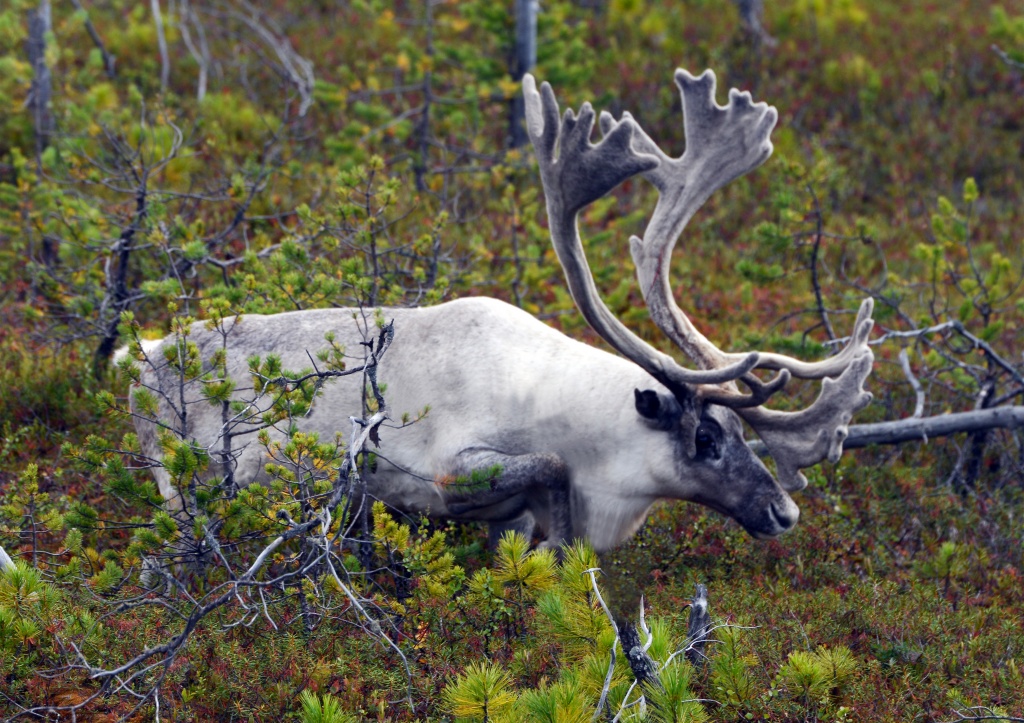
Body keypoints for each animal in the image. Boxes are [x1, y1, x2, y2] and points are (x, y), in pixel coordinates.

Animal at [125, 69, 874, 563]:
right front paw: (559, 552)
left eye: (742, 433)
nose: (784, 509)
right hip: (183, 486)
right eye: (706, 439)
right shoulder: (450, 466)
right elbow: (549, 472)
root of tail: (140, 356)